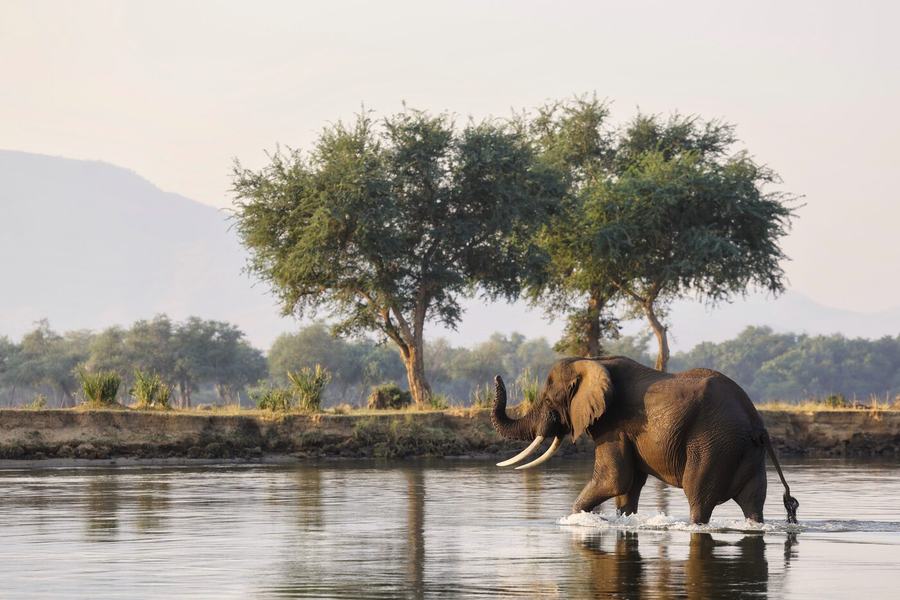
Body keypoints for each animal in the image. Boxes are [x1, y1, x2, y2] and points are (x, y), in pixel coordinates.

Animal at [491, 356, 799, 524]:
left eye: (548, 400)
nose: (497, 376)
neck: (594, 360)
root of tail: (756, 423)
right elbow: (628, 485)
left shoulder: (614, 424)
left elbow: (614, 478)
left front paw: (580, 518)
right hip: (747, 452)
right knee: (753, 501)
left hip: (714, 444)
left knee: (699, 497)